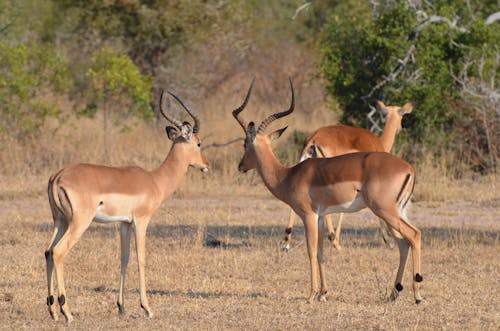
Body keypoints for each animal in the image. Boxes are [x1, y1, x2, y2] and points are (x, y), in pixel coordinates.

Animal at [45, 89, 209, 322]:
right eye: (198, 142)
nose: (206, 165)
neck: (155, 180)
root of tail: (58, 176)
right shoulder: (141, 221)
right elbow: (141, 258)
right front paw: (147, 308)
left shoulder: (124, 223)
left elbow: (124, 258)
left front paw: (121, 307)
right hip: (79, 223)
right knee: (58, 252)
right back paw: (67, 312)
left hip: (60, 221)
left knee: (48, 252)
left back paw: (52, 311)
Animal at [284, 101, 412, 252]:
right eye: (401, 114)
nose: (401, 128)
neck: (379, 142)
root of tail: (313, 139)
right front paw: (388, 241)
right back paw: (333, 240)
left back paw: (287, 242)